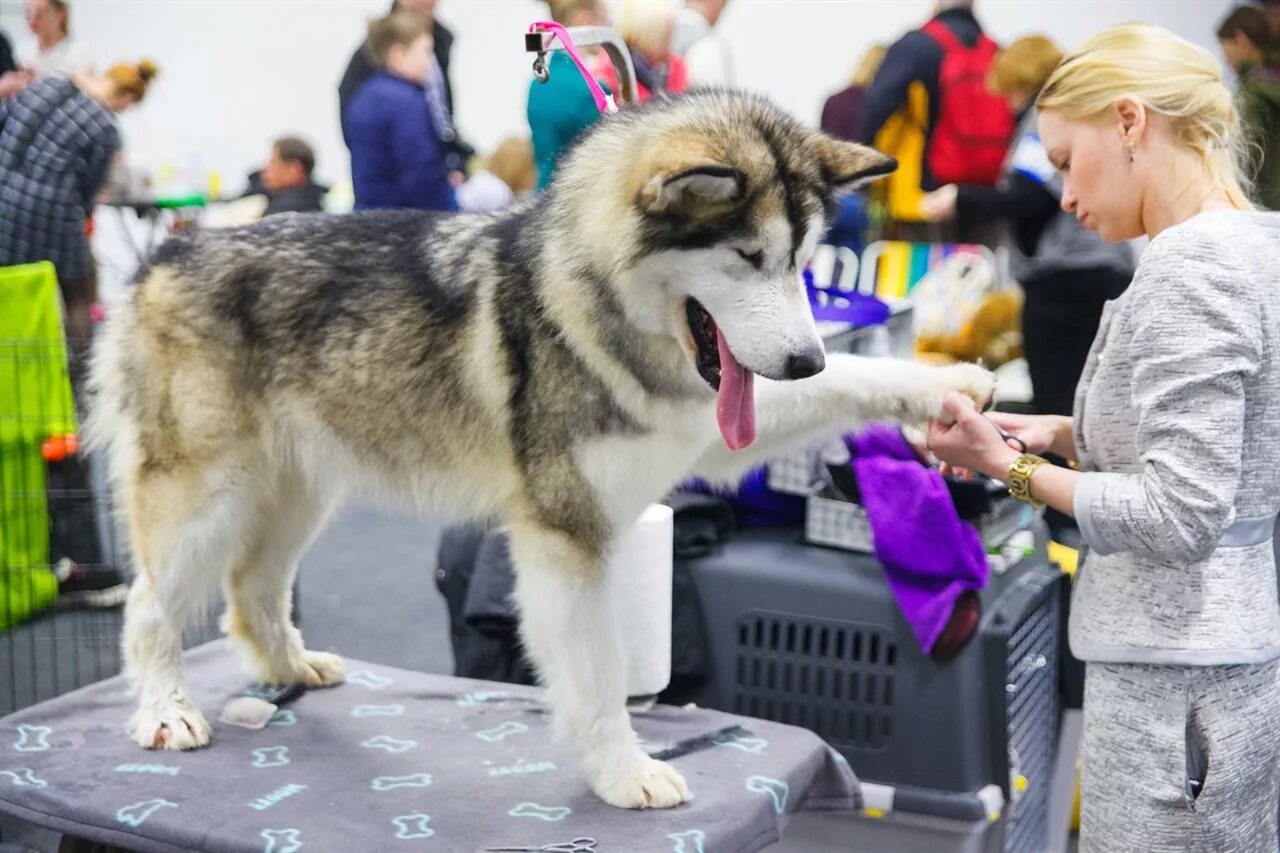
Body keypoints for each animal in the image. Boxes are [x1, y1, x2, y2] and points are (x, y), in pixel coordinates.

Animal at [92, 89, 988, 809]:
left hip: (300, 490)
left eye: (803, 264)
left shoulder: (710, 427)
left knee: (250, 591)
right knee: (149, 607)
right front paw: (624, 774)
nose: (806, 359)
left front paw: (946, 387)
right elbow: (597, 677)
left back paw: (290, 665)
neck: (591, 306)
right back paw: (165, 708)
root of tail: (164, 252)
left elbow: (858, 380)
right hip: (208, 498)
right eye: (747, 257)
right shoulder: (567, 537)